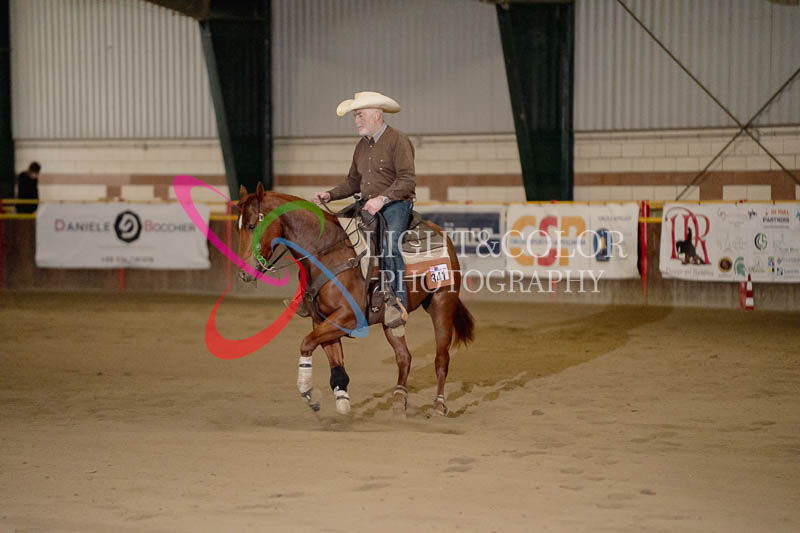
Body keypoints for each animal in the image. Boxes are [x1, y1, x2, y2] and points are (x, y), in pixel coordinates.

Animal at [236, 183, 475, 417]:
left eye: (251, 226)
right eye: (239, 227)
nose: (244, 274)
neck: (327, 252)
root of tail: (441, 233)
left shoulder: (348, 317)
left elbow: (306, 343)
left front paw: (308, 392)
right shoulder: (322, 320)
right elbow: (333, 360)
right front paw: (342, 400)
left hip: (442, 303)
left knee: (441, 358)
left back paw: (439, 404)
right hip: (390, 320)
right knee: (404, 357)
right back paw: (399, 398)